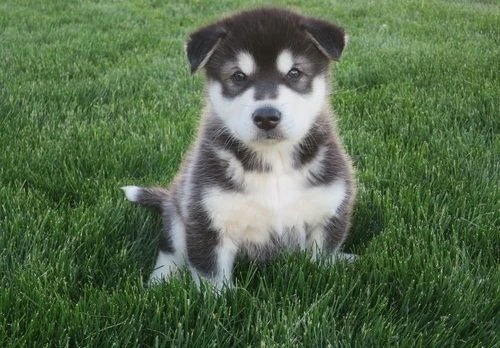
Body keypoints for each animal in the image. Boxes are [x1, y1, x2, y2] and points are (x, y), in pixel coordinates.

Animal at [123, 8, 358, 290]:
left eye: (294, 73)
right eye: (238, 76)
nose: (266, 117)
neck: (274, 162)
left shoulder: (329, 209)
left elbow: (321, 261)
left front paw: (328, 268)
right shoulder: (207, 218)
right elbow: (211, 278)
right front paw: (217, 299)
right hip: (178, 214)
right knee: (170, 249)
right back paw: (160, 281)